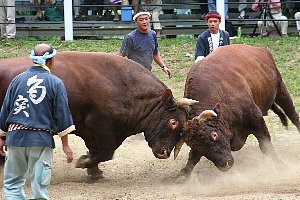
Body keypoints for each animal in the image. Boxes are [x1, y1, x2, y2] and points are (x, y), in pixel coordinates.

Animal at [0, 52, 197, 180]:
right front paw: (84, 162)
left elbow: (101, 152)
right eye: (173, 122)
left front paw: (94, 171)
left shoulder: (94, 132)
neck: (126, 87)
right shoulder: (101, 128)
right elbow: (105, 152)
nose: (164, 153)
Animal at [175, 43, 300, 177]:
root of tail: (261, 49)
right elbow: (193, 158)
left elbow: (265, 146)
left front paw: (280, 166)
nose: (225, 165)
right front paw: (184, 173)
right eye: (197, 147)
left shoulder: (256, 119)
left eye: (214, 134)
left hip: (281, 89)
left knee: (292, 114)